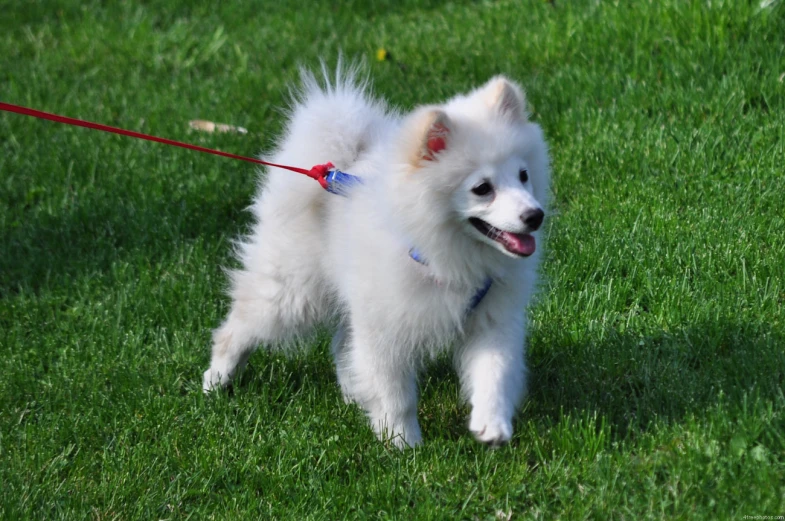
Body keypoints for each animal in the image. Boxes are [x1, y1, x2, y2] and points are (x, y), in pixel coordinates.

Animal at [204, 65, 552, 446]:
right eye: (482, 189)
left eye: (523, 175)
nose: (535, 216)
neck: (443, 254)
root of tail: (334, 167)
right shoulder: (386, 327)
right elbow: (395, 392)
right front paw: (403, 442)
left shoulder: (491, 318)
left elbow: (495, 371)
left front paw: (492, 424)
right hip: (293, 294)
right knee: (238, 327)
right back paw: (216, 379)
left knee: (343, 343)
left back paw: (352, 393)